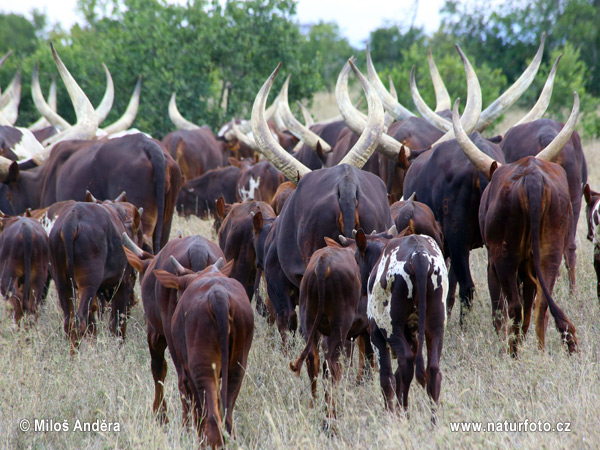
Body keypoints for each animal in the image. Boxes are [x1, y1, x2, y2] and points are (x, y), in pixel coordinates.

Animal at [122, 234, 223, 424]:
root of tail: (197, 249)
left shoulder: (155, 333)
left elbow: (158, 368)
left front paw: (161, 414)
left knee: (184, 380)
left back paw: (187, 422)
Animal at [154, 258, 254, 448]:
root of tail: (218, 295)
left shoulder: (186, 376)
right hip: (236, 370)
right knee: (226, 416)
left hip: (201, 372)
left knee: (212, 419)